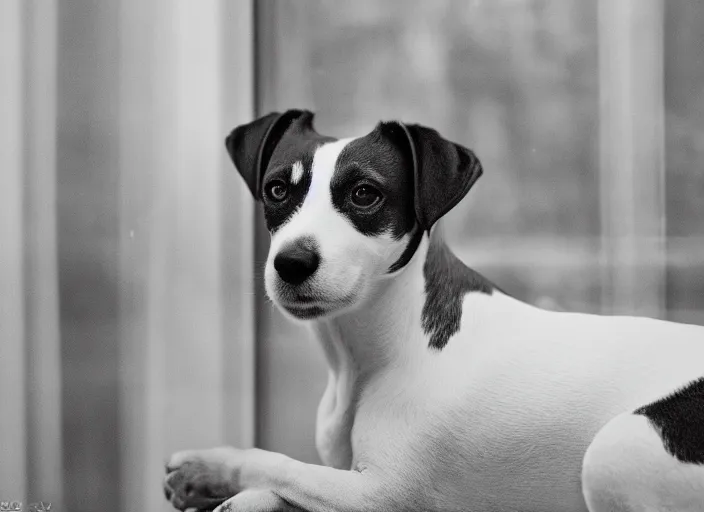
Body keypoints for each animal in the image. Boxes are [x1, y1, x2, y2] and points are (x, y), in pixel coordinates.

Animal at [162, 110, 704, 510]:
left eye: (365, 193)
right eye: (277, 189)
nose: (291, 263)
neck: (384, 349)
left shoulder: (381, 495)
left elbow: (277, 463)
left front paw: (209, 467)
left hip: (616, 450)